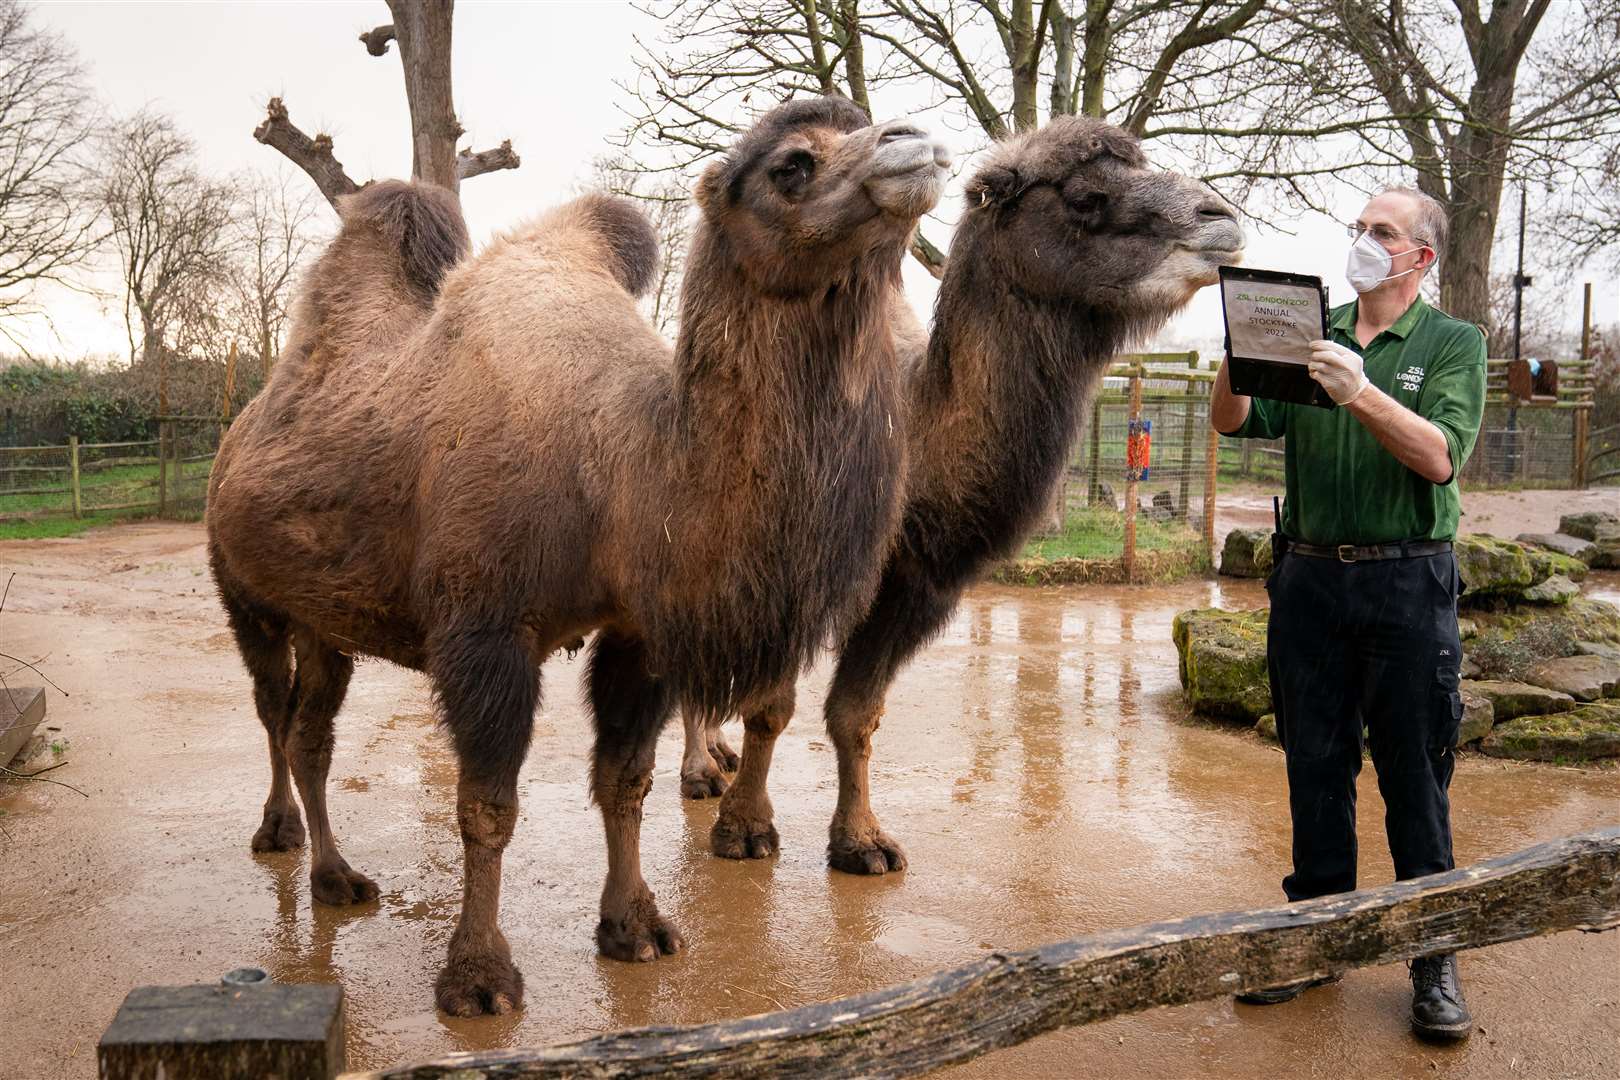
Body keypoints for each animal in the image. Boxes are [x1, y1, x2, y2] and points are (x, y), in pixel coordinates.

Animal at [208, 97, 952, 1016]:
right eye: (792, 165)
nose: (915, 144)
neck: (623, 466)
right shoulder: (485, 630)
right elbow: (487, 807)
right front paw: (479, 977)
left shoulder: (639, 631)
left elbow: (625, 780)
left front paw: (635, 927)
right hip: (246, 595)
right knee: (273, 713)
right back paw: (283, 839)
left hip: (326, 621)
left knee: (311, 732)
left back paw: (337, 877)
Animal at [683, 116, 1237, 880]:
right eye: (1086, 197)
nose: (1221, 219)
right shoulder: (789, 564)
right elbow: (771, 704)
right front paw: (744, 829)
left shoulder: (916, 585)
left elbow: (856, 715)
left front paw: (862, 842)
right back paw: (701, 771)